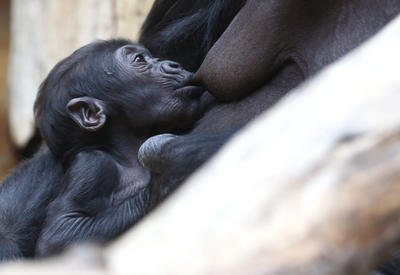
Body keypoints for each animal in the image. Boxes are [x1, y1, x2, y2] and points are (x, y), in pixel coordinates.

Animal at [0, 39, 208, 260]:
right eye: (139, 60)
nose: (173, 64)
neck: (125, 152)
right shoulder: (92, 165)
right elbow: (60, 235)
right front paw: (168, 178)